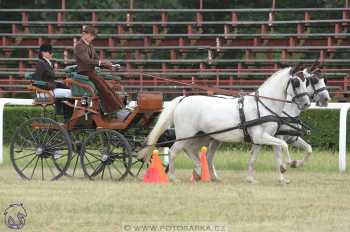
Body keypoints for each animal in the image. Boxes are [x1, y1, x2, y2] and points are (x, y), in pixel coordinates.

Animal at [138, 66, 310, 184]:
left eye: (306, 82)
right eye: (296, 83)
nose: (307, 103)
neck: (263, 105)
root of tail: (183, 99)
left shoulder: (260, 140)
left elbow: (255, 159)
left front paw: (253, 179)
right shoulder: (262, 137)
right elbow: (284, 145)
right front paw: (288, 164)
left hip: (200, 136)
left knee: (193, 151)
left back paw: (200, 172)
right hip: (185, 135)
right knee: (174, 151)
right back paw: (174, 177)